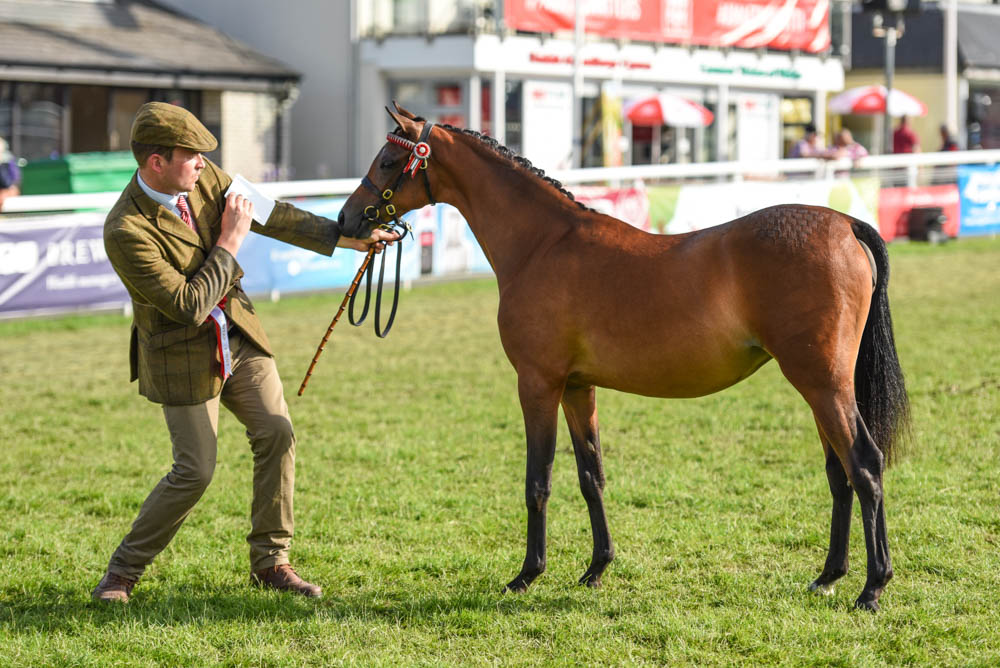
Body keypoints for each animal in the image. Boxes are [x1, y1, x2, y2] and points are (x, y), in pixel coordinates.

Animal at [340, 103, 912, 612]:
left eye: (388, 161)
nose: (348, 218)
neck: (543, 244)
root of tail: (846, 224)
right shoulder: (578, 387)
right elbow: (590, 475)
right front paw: (596, 568)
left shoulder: (537, 383)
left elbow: (538, 481)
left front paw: (527, 575)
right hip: (820, 388)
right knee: (840, 473)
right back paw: (828, 577)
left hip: (822, 384)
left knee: (864, 465)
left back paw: (872, 588)